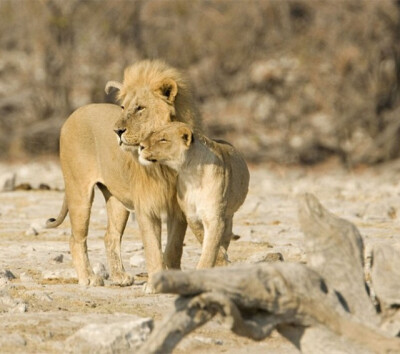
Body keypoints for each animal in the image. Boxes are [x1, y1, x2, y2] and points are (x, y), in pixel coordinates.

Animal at [46, 59, 202, 290]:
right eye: (123, 107)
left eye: (140, 108)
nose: (117, 131)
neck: (164, 163)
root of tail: (74, 112)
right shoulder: (146, 207)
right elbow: (152, 248)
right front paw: (154, 284)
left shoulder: (178, 209)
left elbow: (173, 248)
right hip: (79, 191)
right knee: (76, 238)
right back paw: (88, 278)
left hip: (117, 200)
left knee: (110, 236)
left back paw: (119, 276)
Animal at [139, 122, 248, 268]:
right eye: (153, 133)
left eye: (163, 139)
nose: (141, 146)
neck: (191, 173)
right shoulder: (191, 216)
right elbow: (202, 237)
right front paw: (220, 257)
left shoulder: (214, 217)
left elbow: (210, 248)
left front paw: (215, 263)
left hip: (228, 215)